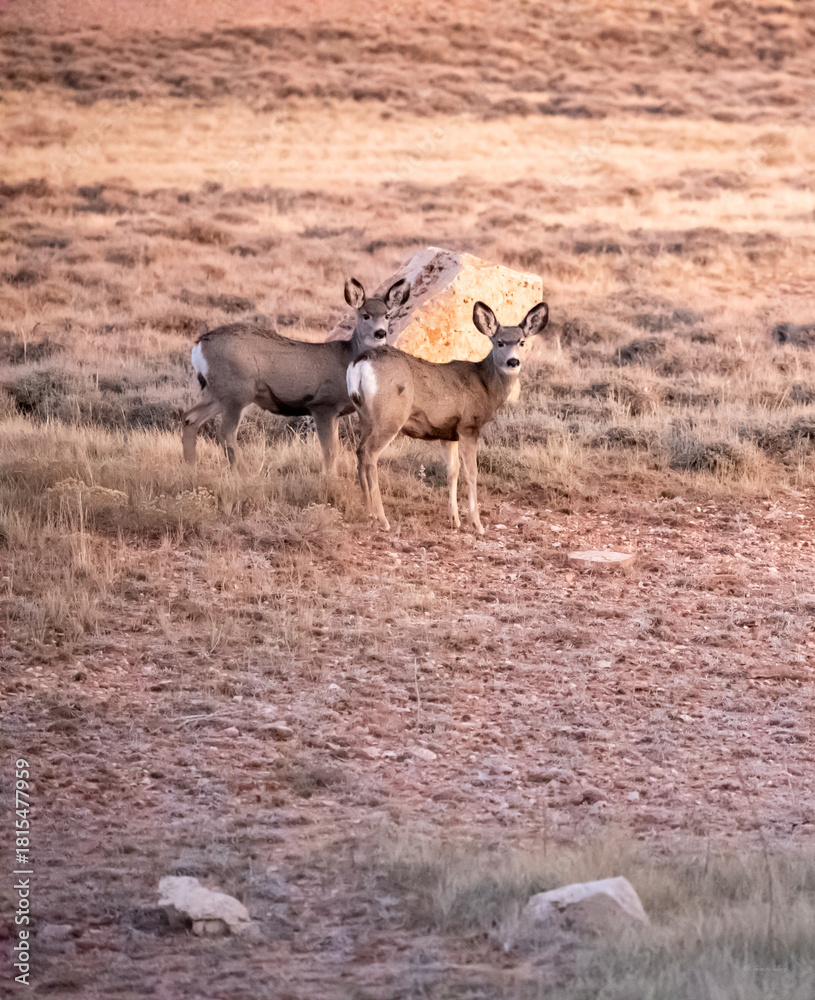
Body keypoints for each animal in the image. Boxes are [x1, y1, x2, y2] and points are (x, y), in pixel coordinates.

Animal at [181, 277, 410, 473]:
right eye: (365, 315)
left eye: (387, 315)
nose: (380, 333)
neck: (347, 359)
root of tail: (200, 345)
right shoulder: (323, 405)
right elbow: (330, 450)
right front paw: (329, 479)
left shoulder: (334, 413)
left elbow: (334, 449)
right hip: (237, 391)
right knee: (225, 432)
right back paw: (243, 473)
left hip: (219, 392)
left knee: (190, 418)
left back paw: (191, 467)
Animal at [346, 300, 549, 533]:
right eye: (499, 342)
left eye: (522, 342)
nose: (513, 362)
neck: (485, 385)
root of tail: (360, 363)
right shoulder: (469, 426)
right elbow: (472, 473)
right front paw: (477, 524)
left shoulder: (448, 432)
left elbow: (452, 471)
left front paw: (455, 519)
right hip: (390, 416)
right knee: (369, 453)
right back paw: (382, 519)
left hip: (365, 416)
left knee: (360, 452)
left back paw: (368, 512)